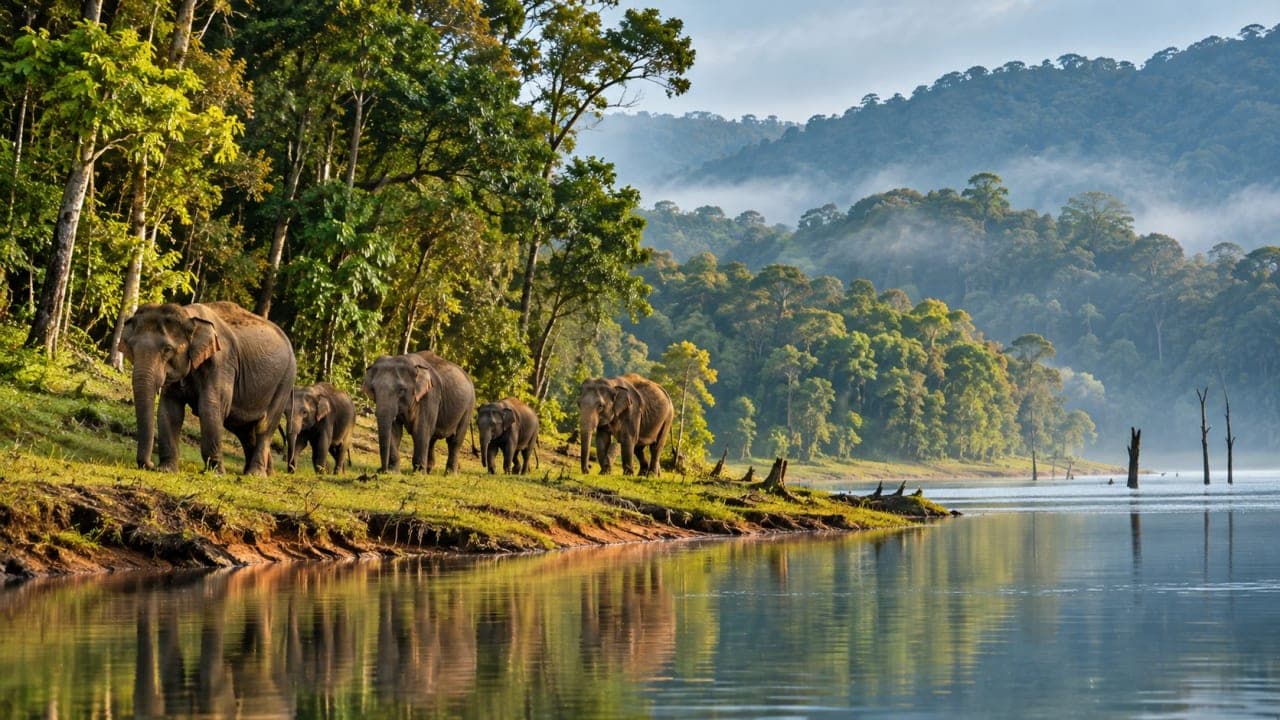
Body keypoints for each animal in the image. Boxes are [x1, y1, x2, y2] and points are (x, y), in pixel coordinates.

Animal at [118, 301, 296, 475]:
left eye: (167, 349)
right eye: (131, 348)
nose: (149, 465)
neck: (189, 315)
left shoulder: (221, 364)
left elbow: (210, 407)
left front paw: (215, 473)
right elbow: (169, 409)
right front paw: (166, 470)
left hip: (285, 382)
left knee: (264, 426)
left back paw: (255, 474)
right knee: (243, 429)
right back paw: (265, 474)